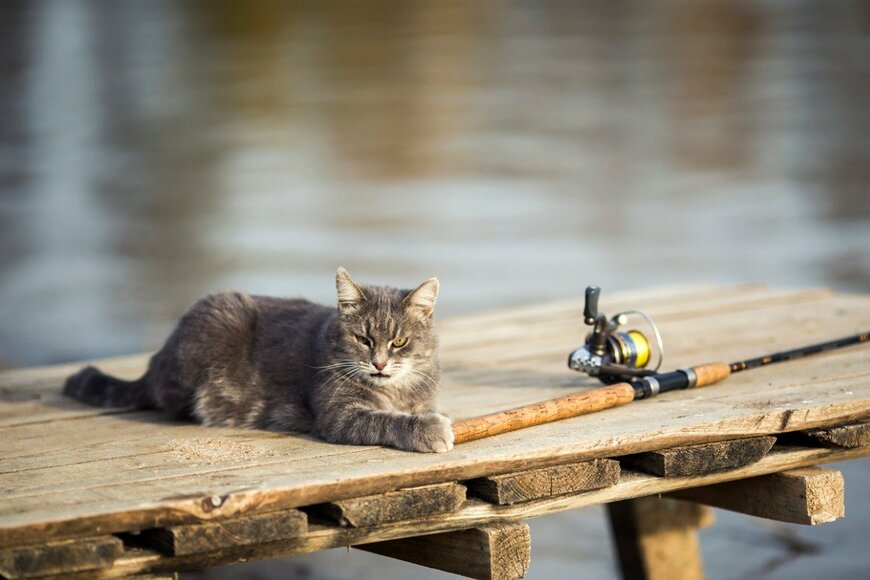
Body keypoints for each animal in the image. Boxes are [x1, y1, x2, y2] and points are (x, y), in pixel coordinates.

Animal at [64, 268, 454, 454]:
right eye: (363, 339)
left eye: (400, 342)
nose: (379, 364)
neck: (397, 390)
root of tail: (156, 360)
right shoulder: (339, 415)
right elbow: (382, 420)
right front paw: (431, 430)